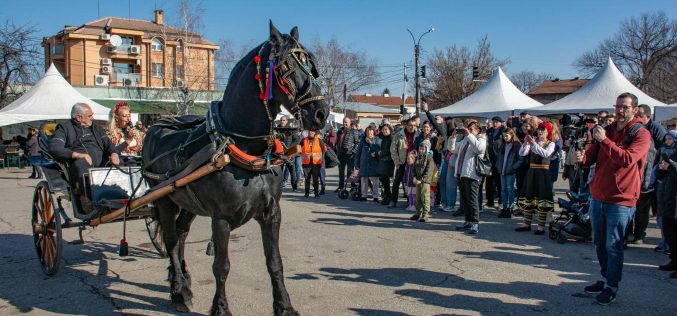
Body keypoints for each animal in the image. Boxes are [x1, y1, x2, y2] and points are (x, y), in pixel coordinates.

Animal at [144, 22, 328, 316]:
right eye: (286, 66)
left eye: (311, 65)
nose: (322, 112)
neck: (244, 148)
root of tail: (157, 126)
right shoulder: (221, 219)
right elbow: (222, 267)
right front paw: (220, 308)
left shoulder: (271, 214)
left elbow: (275, 262)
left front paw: (284, 306)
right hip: (164, 200)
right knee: (171, 241)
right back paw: (179, 291)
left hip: (188, 204)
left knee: (181, 236)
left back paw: (182, 279)